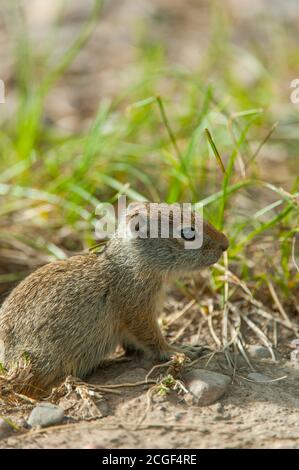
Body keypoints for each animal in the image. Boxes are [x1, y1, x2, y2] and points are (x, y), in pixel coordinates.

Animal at [0, 202, 230, 392]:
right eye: (188, 233)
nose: (226, 243)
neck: (131, 264)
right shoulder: (138, 313)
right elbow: (153, 339)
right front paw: (180, 350)